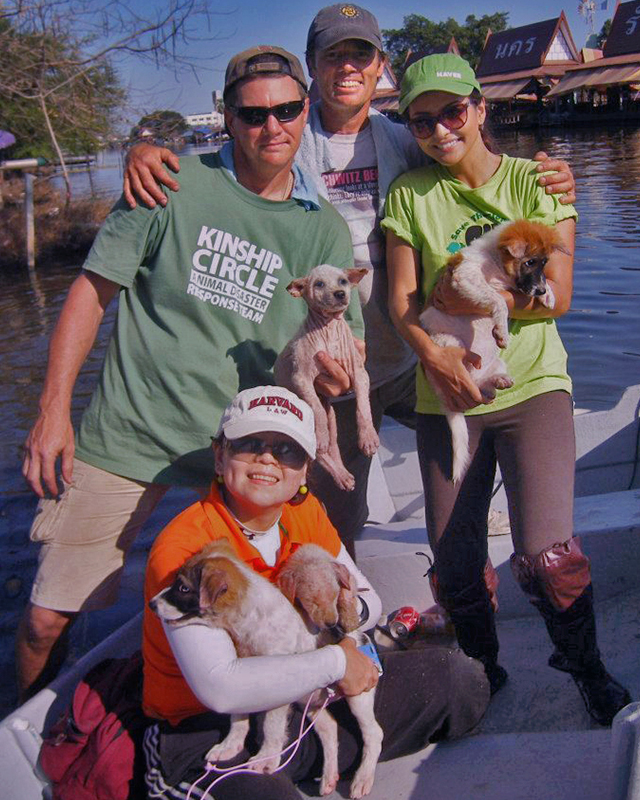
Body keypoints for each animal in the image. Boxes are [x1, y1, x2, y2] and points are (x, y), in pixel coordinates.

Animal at [272, 264, 378, 488]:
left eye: (343, 281)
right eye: (319, 284)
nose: (340, 293)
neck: (328, 329)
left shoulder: (359, 373)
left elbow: (363, 407)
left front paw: (368, 438)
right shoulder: (301, 379)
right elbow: (317, 411)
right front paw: (320, 435)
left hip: (333, 418)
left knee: (334, 447)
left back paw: (343, 475)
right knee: (319, 450)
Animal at [420, 217, 564, 482]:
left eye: (544, 262)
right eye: (529, 262)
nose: (539, 291)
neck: (495, 264)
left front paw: (548, 295)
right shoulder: (465, 278)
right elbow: (498, 300)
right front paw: (501, 331)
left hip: (497, 363)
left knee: (483, 385)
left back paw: (499, 381)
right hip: (449, 347)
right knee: (467, 378)